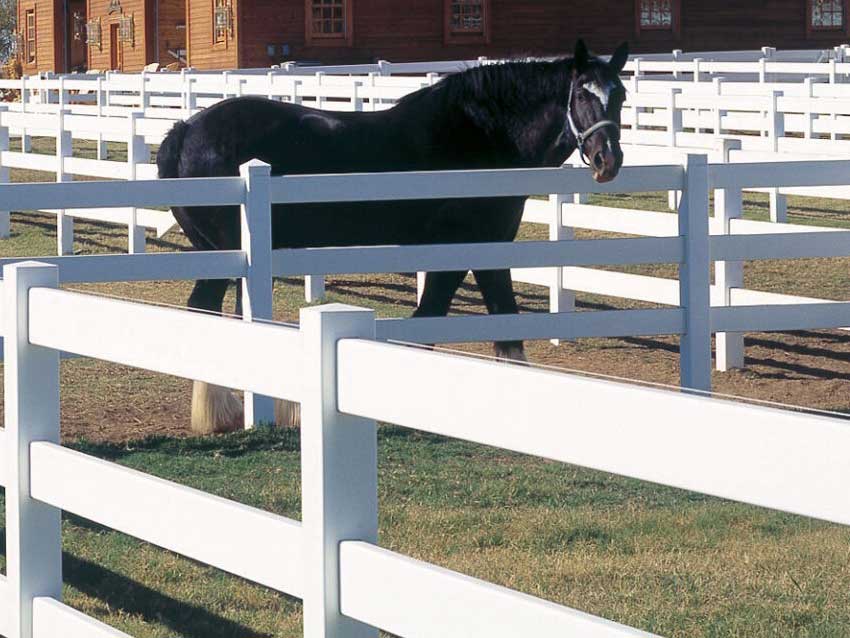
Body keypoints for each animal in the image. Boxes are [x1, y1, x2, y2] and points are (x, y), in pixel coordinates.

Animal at [157, 39, 629, 433]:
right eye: (582, 93)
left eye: (620, 95)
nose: (608, 160)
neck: (481, 136)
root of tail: (186, 130)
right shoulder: (458, 250)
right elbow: (433, 318)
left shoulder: (487, 248)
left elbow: (498, 319)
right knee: (211, 310)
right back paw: (225, 411)